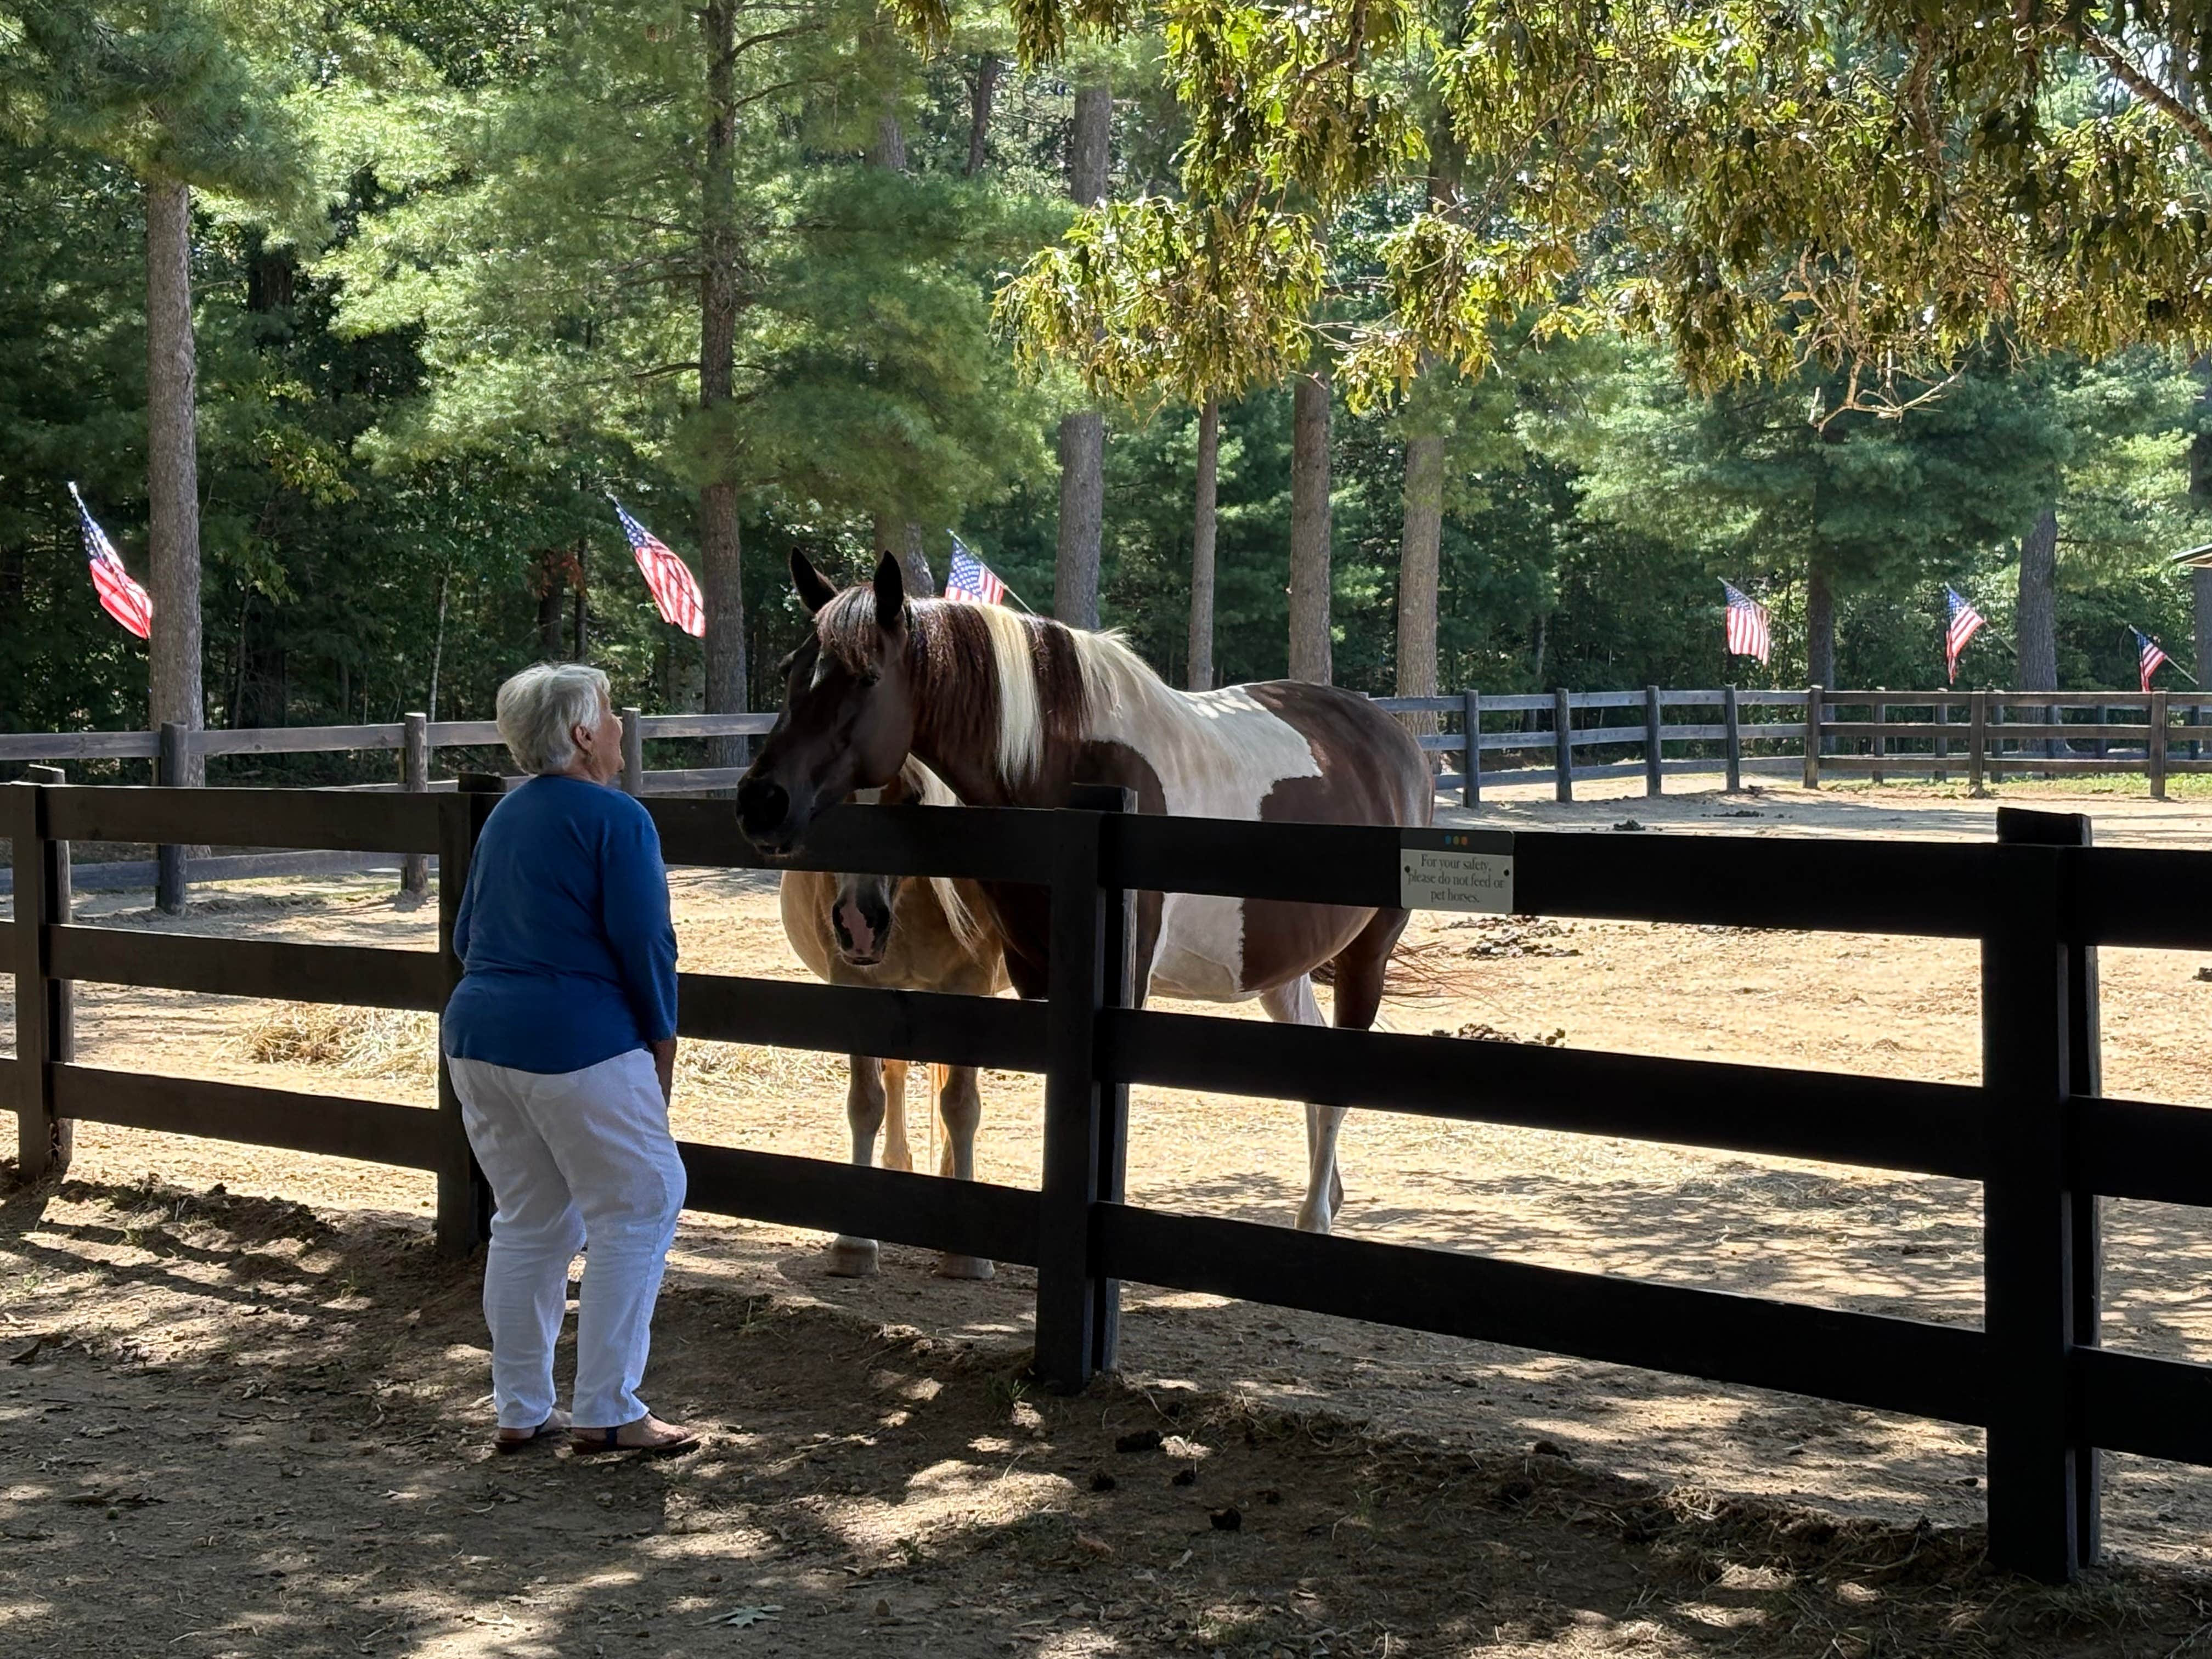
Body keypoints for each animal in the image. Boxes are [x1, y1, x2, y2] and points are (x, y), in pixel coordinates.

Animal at [778, 757, 1009, 1280]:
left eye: (912, 797)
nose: (858, 923)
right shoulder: (856, 984)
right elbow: (866, 1102)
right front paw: (854, 1244)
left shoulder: (971, 985)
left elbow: (961, 1106)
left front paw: (967, 1256)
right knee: (898, 1075)